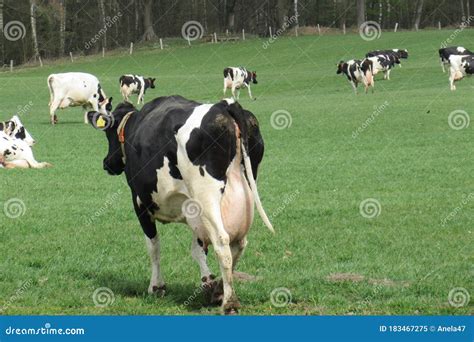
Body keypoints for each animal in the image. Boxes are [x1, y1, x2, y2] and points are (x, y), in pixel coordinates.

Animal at [87, 95, 274, 314]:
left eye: (108, 132)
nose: (107, 163)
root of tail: (225, 104)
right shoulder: (194, 211)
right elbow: (198, 248)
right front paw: (207, 281)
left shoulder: (140, 203)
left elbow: (154, 246)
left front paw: (156, 286)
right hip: (243, 192)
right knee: (239, 244)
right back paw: (219, 290)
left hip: (207, 196)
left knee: (222, 242)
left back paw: (229, 302)